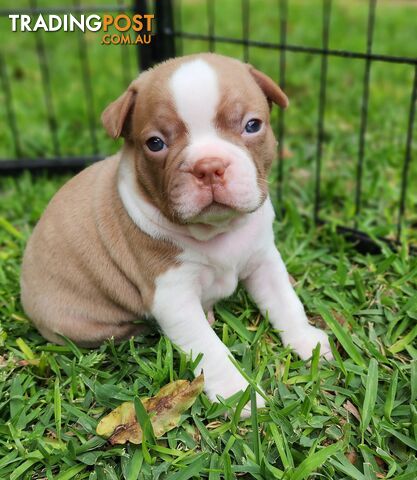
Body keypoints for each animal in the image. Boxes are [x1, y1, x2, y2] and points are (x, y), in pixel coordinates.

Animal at [20, 53, 332, 404]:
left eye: (252, 125)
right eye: (155, 143)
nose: (209, 167)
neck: (216, 230)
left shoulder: (264, 259)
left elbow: (285, 301)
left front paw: (307, 340)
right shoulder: (174, 297)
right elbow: (211, 350)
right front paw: (237, 394)